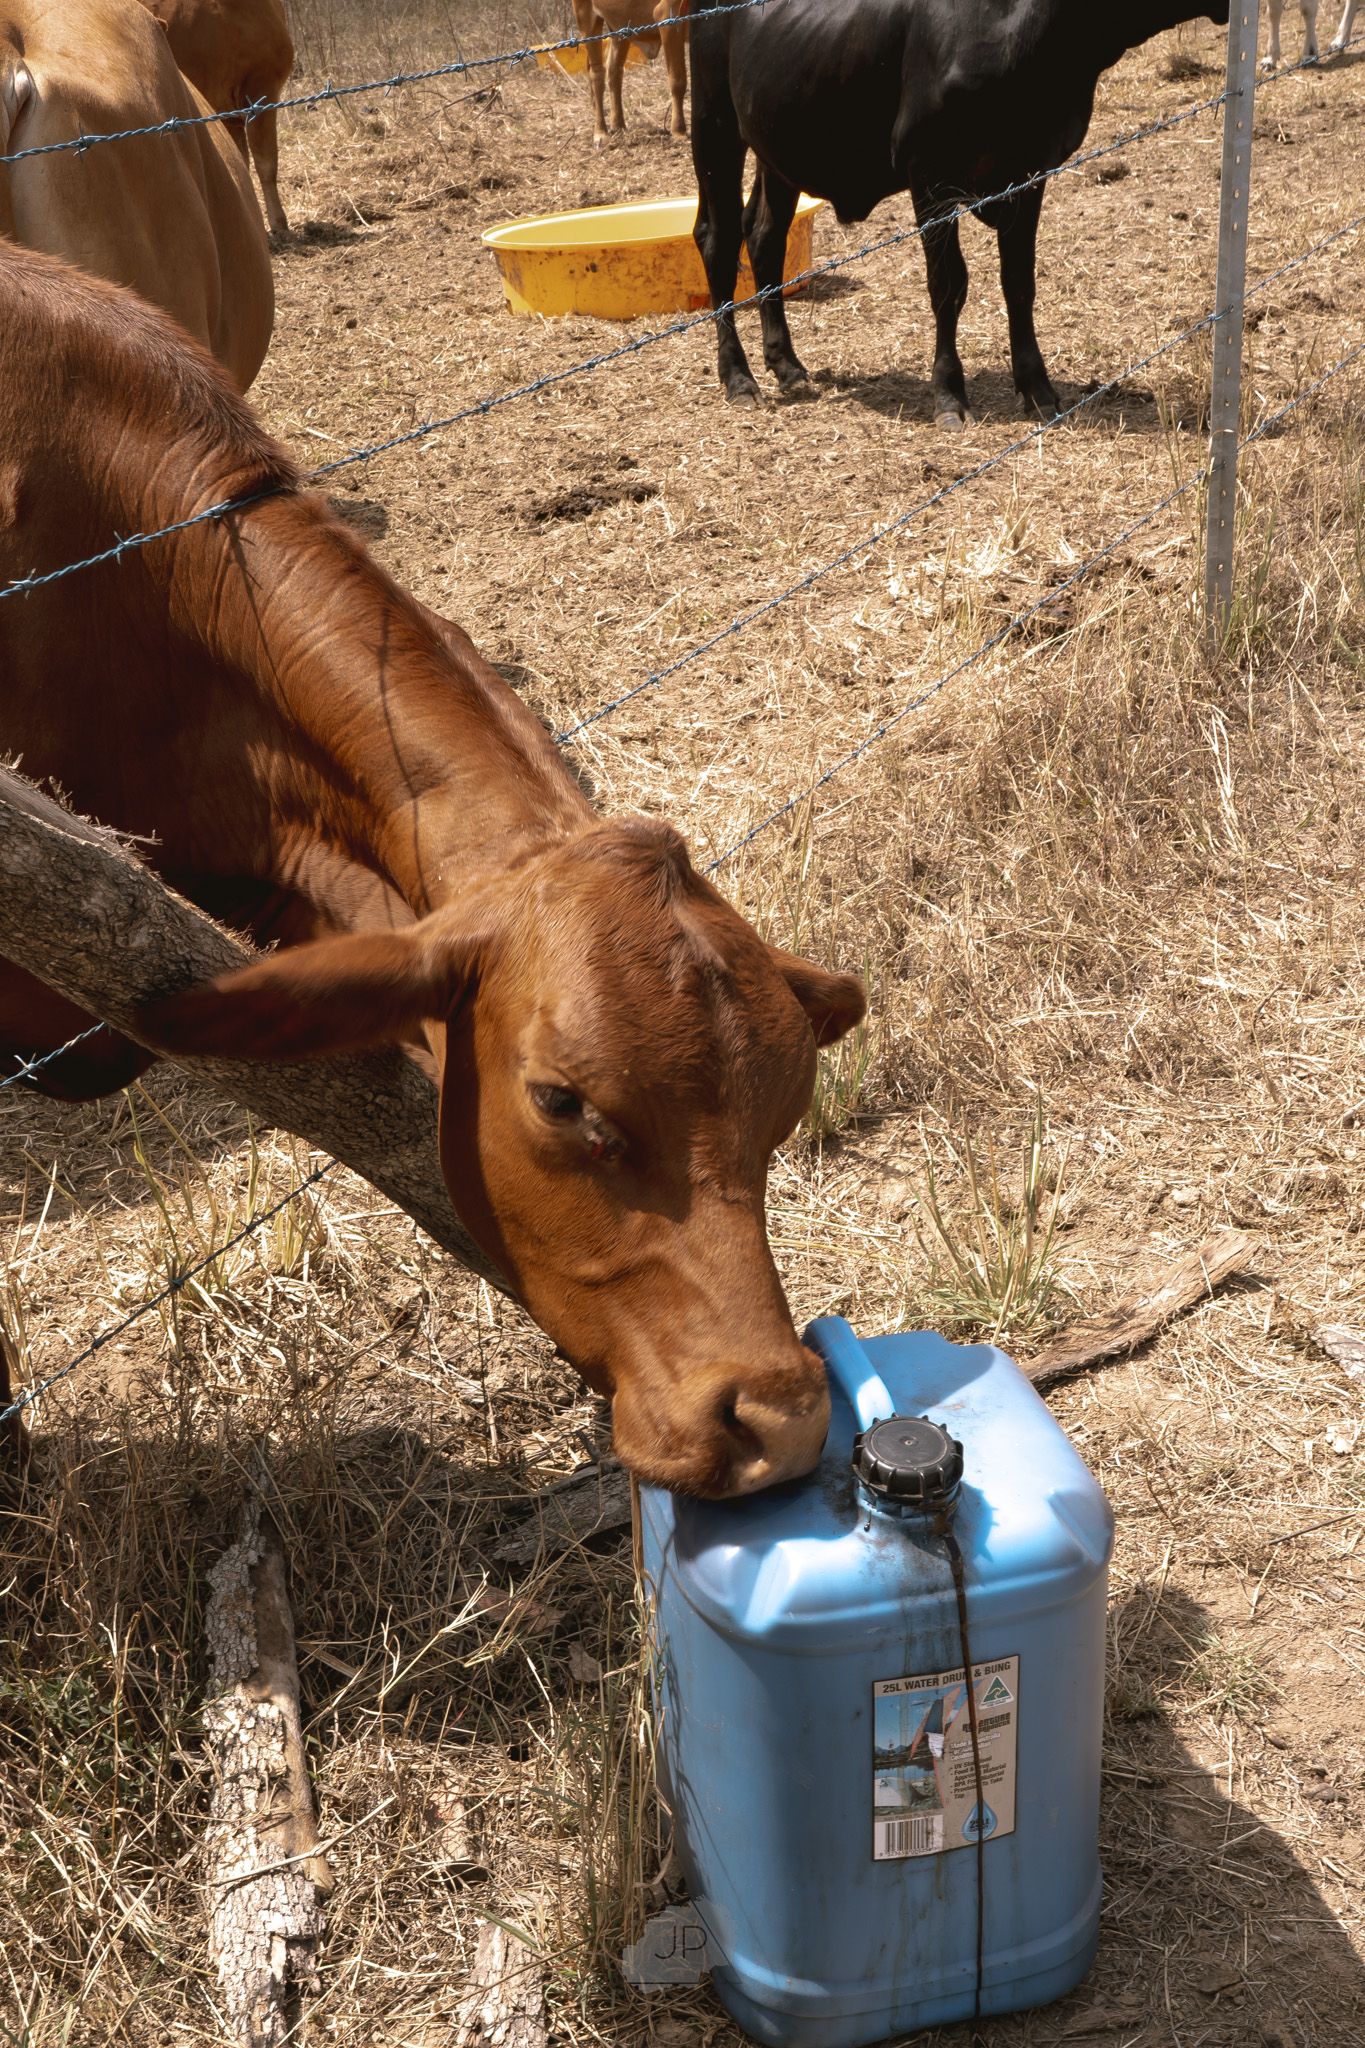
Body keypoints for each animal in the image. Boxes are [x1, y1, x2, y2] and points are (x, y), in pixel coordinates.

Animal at [570, 0, 689, 146]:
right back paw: (600, 133)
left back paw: (619, 125)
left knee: (614, 70)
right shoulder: (668, 16)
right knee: (597, 74)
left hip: (620, 28)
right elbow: (678, 81)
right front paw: (679, 131)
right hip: (586, 17)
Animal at [689, 0, 1231, 421]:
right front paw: (949, 393)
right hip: (714, 126)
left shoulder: (1029, 174)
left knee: (764, 237)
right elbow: (948, 284)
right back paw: (738, 378)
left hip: (777, 148)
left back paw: (787, 365)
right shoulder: (929, 174)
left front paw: (1037, 388)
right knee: (717, 241)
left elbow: (1019, 282)